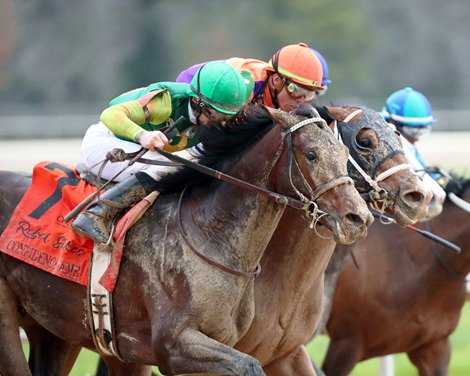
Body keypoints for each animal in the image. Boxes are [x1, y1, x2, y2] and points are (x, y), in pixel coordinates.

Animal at [0, 106, 370, 376]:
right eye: (311, 154)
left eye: (344, 154)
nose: (358, 218)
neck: (210, 233)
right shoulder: (175, 346)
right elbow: (249, 366)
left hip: (53, 327)